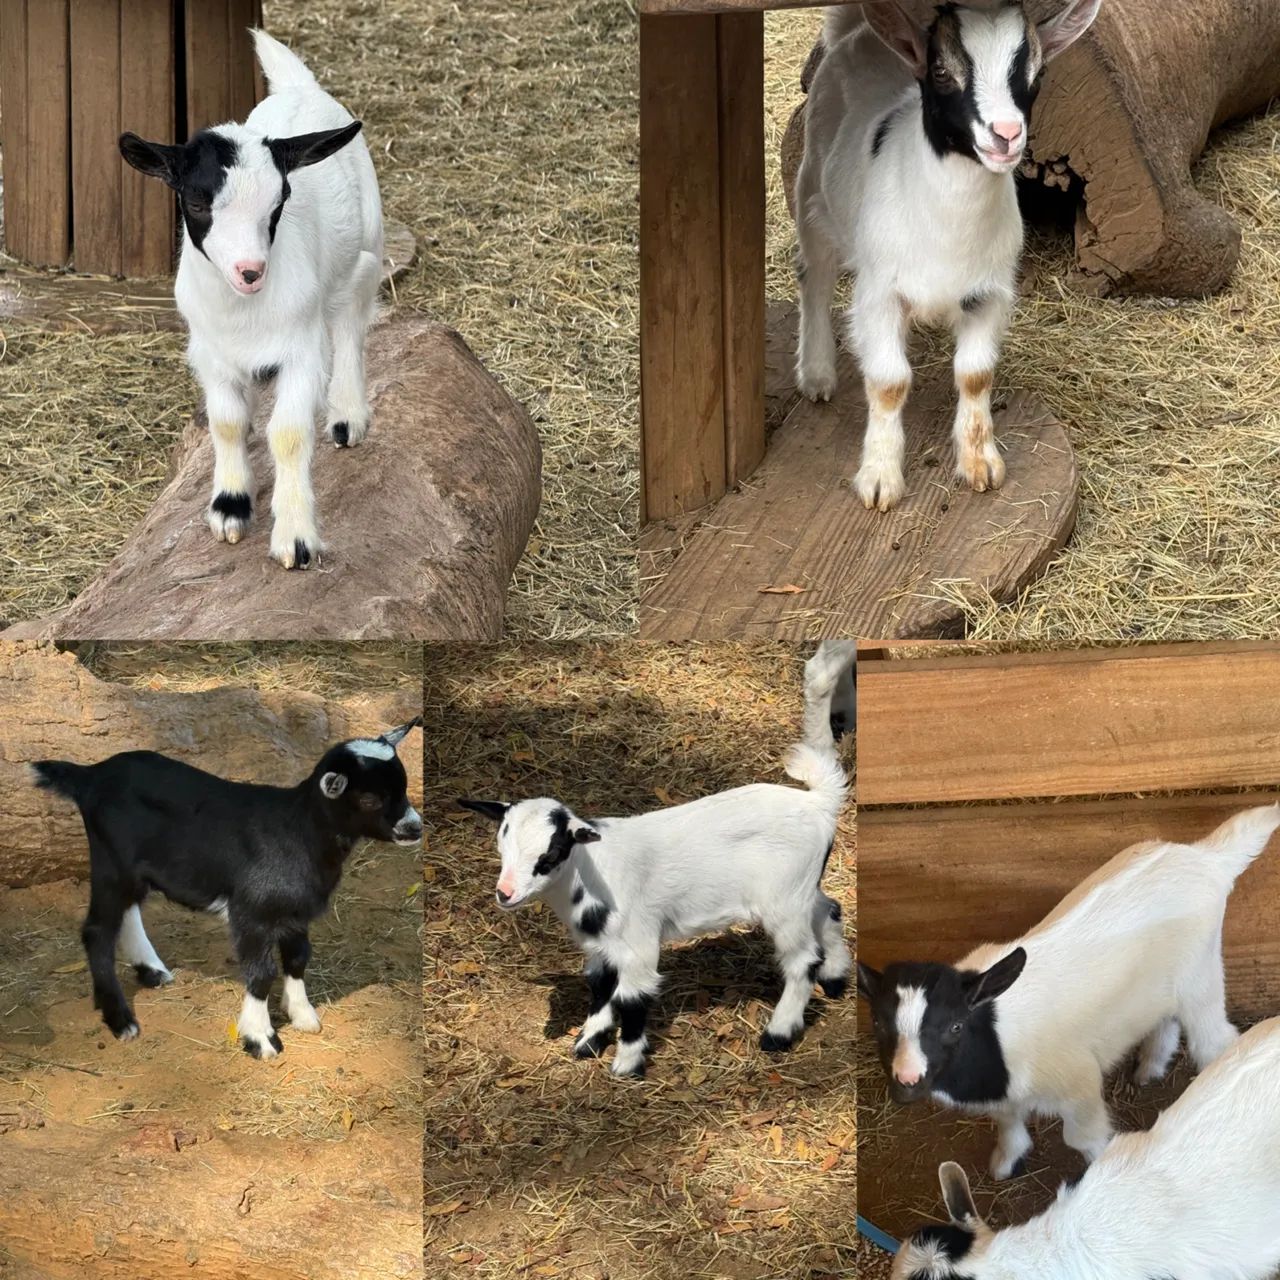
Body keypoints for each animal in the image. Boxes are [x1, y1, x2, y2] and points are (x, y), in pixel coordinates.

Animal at [29, 718, 422, 1059]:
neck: (300, 830)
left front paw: (302, 1015)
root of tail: (90, 775)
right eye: (370, 799)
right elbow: (261, 973)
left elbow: (297, 959)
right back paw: (120, 1019)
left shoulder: (295, 911)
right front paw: (260, 1038)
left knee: (128, 911)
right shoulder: (252, 912)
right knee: (97, 930)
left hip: (132, 869)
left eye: (403, 787)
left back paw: (151, 970)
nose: (414, 828)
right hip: (111, 861)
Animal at [119, 29, 384, 570]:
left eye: (279, 202)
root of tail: (301, 88)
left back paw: (347, 414)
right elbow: (226, 423)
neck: (244, 313)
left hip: (366, 244)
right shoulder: (211, 352)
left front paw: (296, 538)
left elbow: (289, 433)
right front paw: (230, 506)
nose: (250, 272)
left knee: (353, 313)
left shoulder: (301, 351)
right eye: (195, 202)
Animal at [459, 742, 851, 1078]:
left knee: (802, 960)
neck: (590, 872)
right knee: (829, 909)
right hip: (800, 890)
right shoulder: (600, 945)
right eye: (501, 846)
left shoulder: (639, 943)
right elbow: (599, 984)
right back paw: (835, 979)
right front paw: (589, 1041)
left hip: (784, 901)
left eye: (551, 854)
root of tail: (819, 802)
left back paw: (778, 1034)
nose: (505, 894)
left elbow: (631, 998)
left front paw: (626, 1064)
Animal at [795, 0, 1102, 511]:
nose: (1006, 134)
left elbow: (975, 375)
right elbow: (889, 381)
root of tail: (856, 34)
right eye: (940, 71)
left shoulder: (988, 294)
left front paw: (981, 465)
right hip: (812, 187)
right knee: (813, 273)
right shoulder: (879, 294)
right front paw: (880, 479)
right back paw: (817, 375)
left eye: (1037, 75)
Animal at [858, 805, 1280, 1178]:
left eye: (955, 1026)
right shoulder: (1004, 1096)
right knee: (1165, 1018)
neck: (994, 1042)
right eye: (878, 1022)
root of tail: (1206, 858)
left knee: (1214, 1039)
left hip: (1201, 976)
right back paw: (1150, 1067)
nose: (906, 1082)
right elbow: (1007, 1120)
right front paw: (1006, 1162)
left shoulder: (1078, 1083)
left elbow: (1084, 1139)